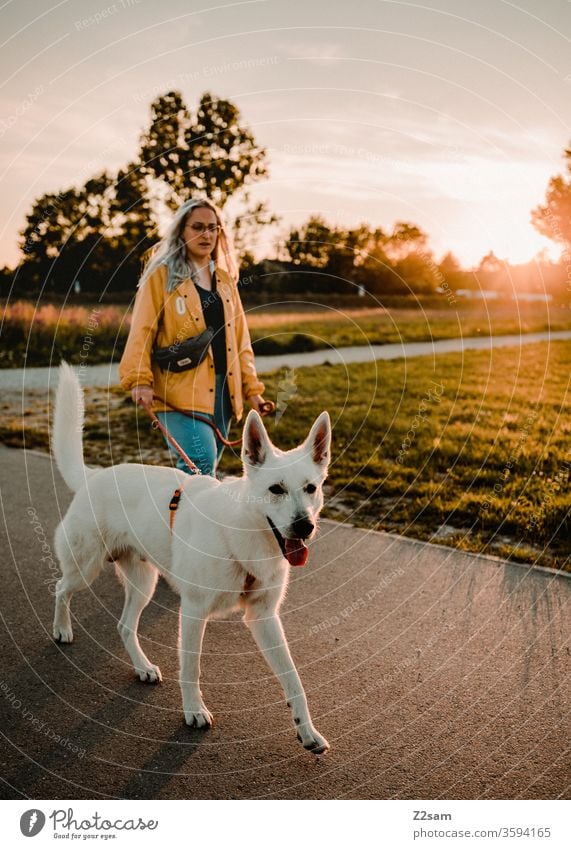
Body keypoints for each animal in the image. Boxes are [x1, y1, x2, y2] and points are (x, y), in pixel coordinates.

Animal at [53, 364, 332, 756]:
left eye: (311, 488)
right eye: (276, 489)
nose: (304, 526)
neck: (239, 532)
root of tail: (94, 476)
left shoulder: (264, 617)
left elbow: (294, 679)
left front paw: (307, 730)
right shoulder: (194, 612)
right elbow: (191, 670)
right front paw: (193, 712)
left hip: (143, 584)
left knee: (124, 626)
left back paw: (142, 666)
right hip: (85, 567)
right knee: (61, 588)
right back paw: (61, 629)